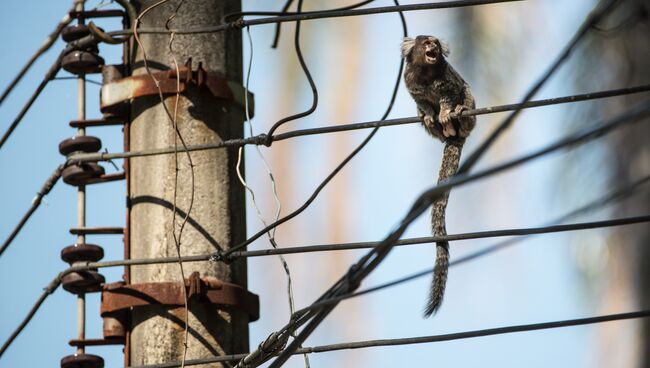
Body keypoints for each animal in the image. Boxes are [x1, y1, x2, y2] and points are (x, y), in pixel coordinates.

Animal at [398, 34, 474, 316]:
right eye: (426, 43)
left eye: (436, 44)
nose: (433, 47)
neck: (427, 74)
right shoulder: (411, 85)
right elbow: (421, 102)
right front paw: (431, 115)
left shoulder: (447, 81)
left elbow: (450, 94)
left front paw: (443, 112)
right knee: (423, 118)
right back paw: (437, 125)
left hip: (470, 113)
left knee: (466, 96)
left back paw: (458, 118)